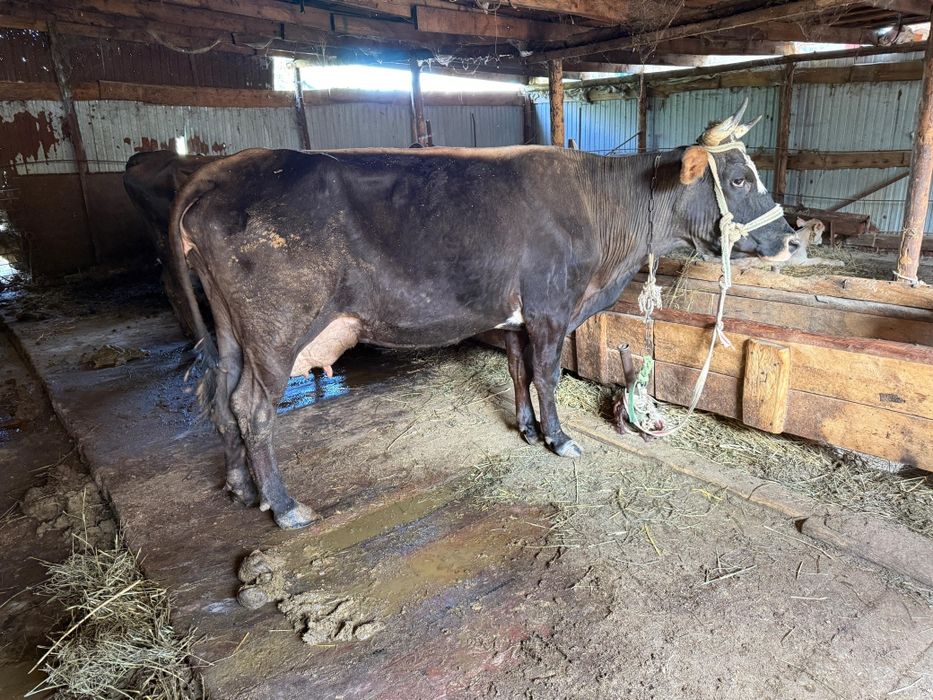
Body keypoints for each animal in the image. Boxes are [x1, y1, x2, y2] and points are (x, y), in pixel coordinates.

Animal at [169, 101, 799, 530]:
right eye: (738, 178)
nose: (792, 239)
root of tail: (223, 169)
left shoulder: (517, 316)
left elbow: (518, 371)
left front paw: (525, 429)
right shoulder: (551, 309)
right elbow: (547, 375)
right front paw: (558, 439)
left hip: (232, 332)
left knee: (219, 395)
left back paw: (239, 486)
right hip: (276, 329)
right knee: (251, 406)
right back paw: (283, 505)